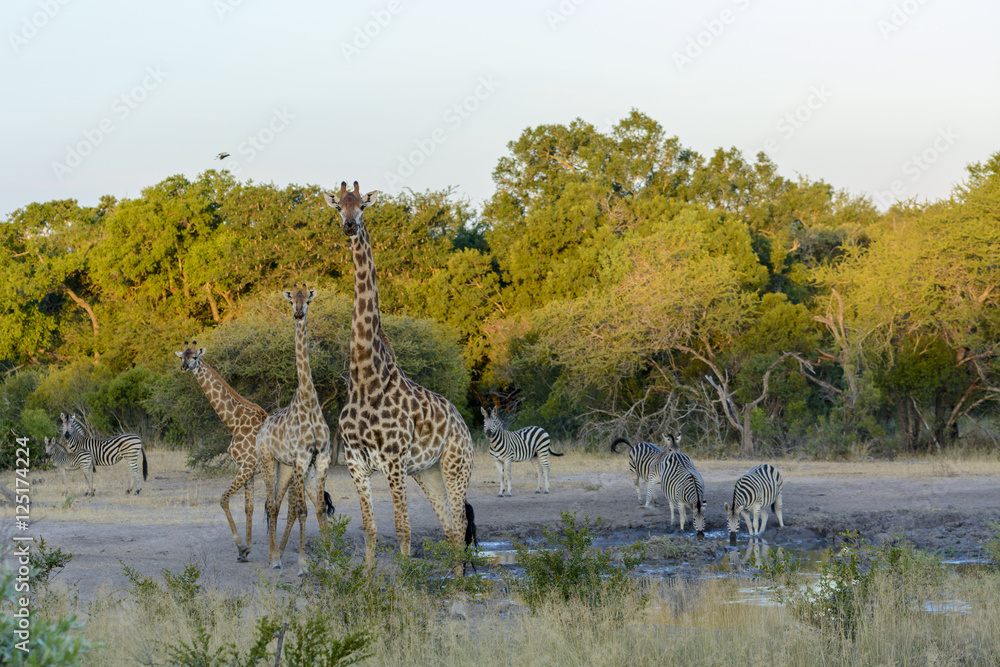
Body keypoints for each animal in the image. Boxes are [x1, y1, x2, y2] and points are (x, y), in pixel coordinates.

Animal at [174, 344, 272, 564]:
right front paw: (246, 550)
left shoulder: (247, 466)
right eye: (182, 357)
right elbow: (249, 508)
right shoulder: (248, 469)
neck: (234, 423)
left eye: (194, 357)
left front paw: (241, 547)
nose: (184, 368)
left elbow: (223, 499)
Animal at [256, 284, 334, 576]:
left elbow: (320, 509)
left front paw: (328, 561)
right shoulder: (302, 458)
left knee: (277, 505)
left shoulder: (321, 459)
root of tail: (262, 429)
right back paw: (275, 559)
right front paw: (302, 565)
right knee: (271, 504)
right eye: (292, 302)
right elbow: (302, 510)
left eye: (307, 301)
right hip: (268, 461)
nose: (298, 314)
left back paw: (275, 556)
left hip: (287, 467)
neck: (310, 402)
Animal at [322, 180, 474, 576]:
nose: (349, 226)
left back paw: (463, 583)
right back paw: (456, 582)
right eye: (338, 207)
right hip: (428, 471)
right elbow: (370, 529)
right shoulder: (357, 463)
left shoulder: (393, 460)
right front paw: (366, 580)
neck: (364, 378)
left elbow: (403, 529)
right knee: (450, 527)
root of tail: (463, 423)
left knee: (461, 525)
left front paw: (404, 583)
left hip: (456, 465)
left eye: (362, 206)